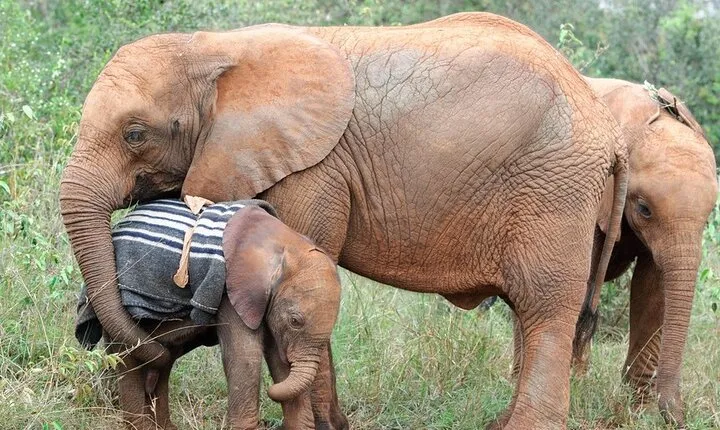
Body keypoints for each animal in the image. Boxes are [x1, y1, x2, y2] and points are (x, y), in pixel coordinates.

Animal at [74, 203, 342, 429]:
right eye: (295, 321)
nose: (271, 391)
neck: (286, 242)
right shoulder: (232, 290)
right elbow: (245, 356)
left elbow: (279, 360)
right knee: (131, 360)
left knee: (162, 362)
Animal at [570, 78, 717, 427]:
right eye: (644, 209)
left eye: (709, 215)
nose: (681, 416)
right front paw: (573, 390)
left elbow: (654, 291)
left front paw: (636, 413)